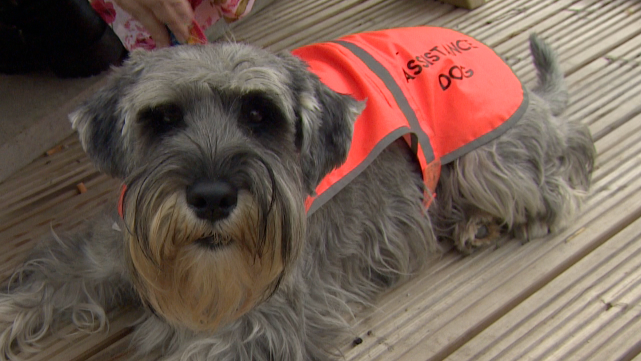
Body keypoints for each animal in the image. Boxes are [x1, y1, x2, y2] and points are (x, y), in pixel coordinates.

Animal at [0, 26, 592, 358]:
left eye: (259, 114)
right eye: (162, 117)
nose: (212, 199)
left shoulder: (258, 325)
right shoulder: (100, 255)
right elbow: (40, 286)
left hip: (487, 162)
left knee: (561, 172)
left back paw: (492, 219)